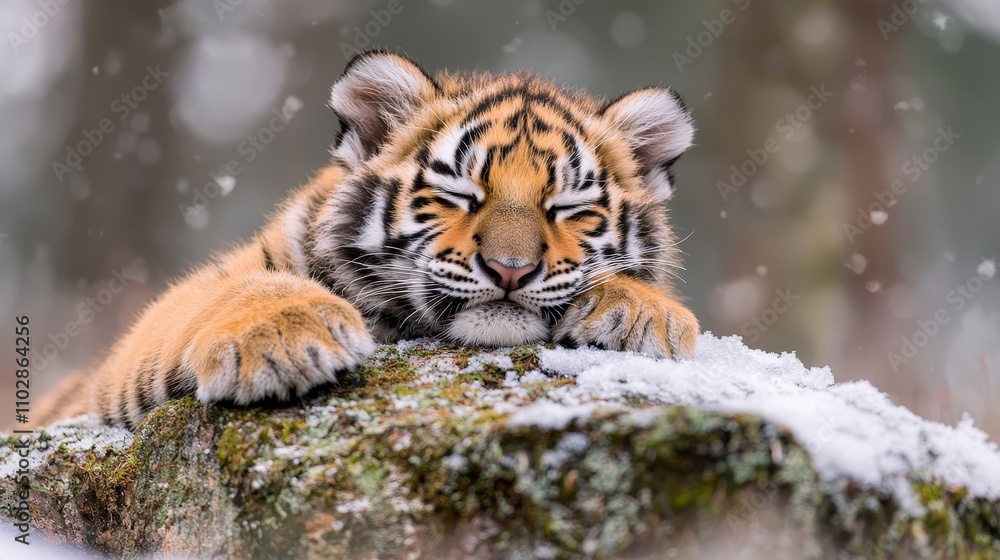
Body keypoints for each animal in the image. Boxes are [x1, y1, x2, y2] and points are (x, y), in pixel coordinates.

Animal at [34, 50, 699, 429]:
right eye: (459, 195)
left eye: (567, 209)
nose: (509, 269)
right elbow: (226, 290)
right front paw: (282, 337)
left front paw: (645, 313)